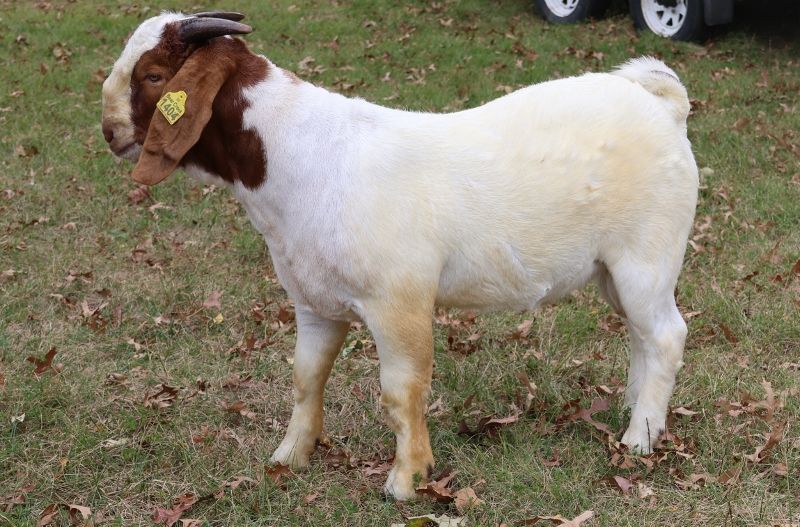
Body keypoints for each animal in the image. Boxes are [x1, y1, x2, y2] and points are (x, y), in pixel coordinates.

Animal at [102, 11, 698, 500]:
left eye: (154, 75)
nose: (109, 132)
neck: (299, 156)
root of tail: (661, 102)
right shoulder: (313, 302)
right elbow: (306, 377)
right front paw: (291, 457)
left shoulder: (398, 302)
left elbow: (401, 393)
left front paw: (406, 480)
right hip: (612, 271)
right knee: (642, 336)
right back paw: (636, 412)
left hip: (648, 255)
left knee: (667, 335)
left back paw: (640, 439)